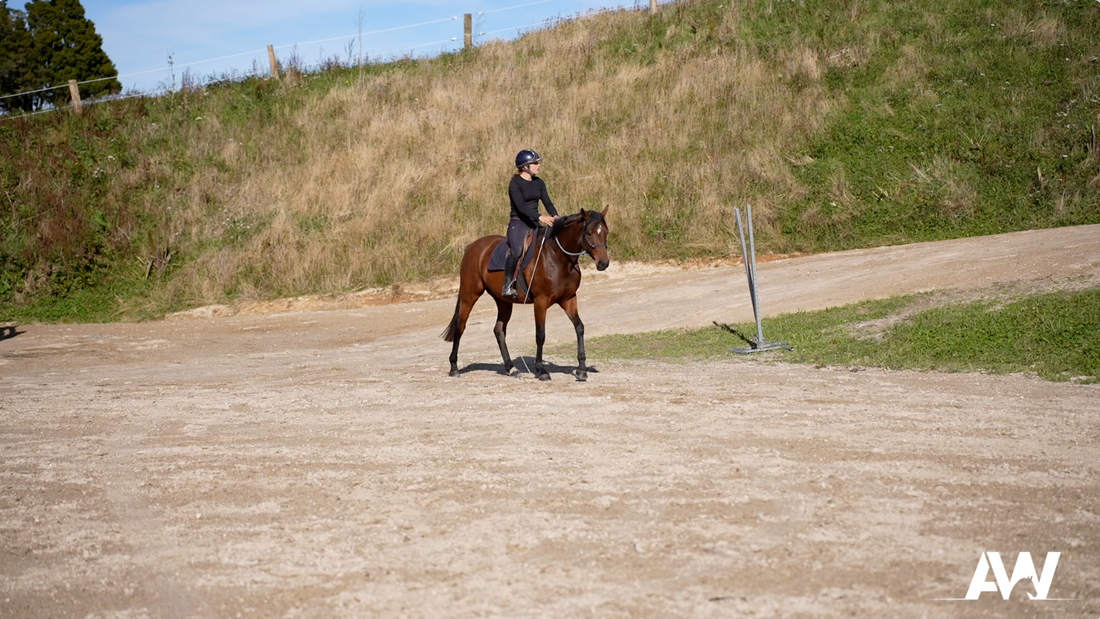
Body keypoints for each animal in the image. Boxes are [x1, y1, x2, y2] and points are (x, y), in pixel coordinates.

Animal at [440, 207, 611, 380]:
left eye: (606, 232)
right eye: (589, 233)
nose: (603, 263)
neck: (557, 257)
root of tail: (473, 247)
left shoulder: (569, 299)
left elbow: (579, 327)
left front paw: (581, 369)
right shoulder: (541, 302)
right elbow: (540, 334)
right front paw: (541, 370)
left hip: (503, 301)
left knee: (499, 330)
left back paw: (510, 368)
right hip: (469, 295)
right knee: (460, 327)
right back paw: (454, 367)